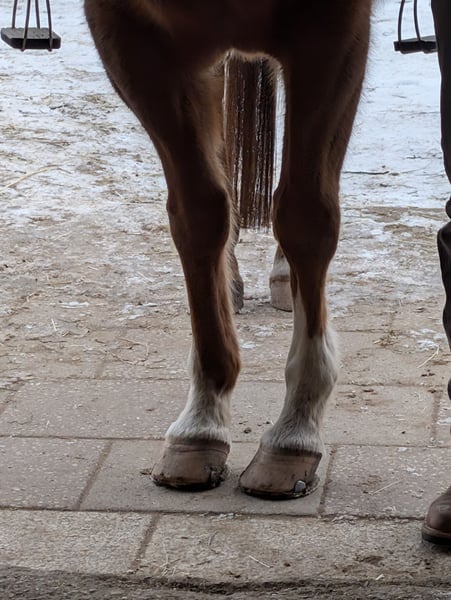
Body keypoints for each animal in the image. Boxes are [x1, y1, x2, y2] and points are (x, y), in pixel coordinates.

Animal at [84, 0, 372, 499]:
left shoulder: (333, 31)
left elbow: (305, 214)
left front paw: (295, 429)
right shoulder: (133, 38)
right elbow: (199, 215)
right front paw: (202, 421)